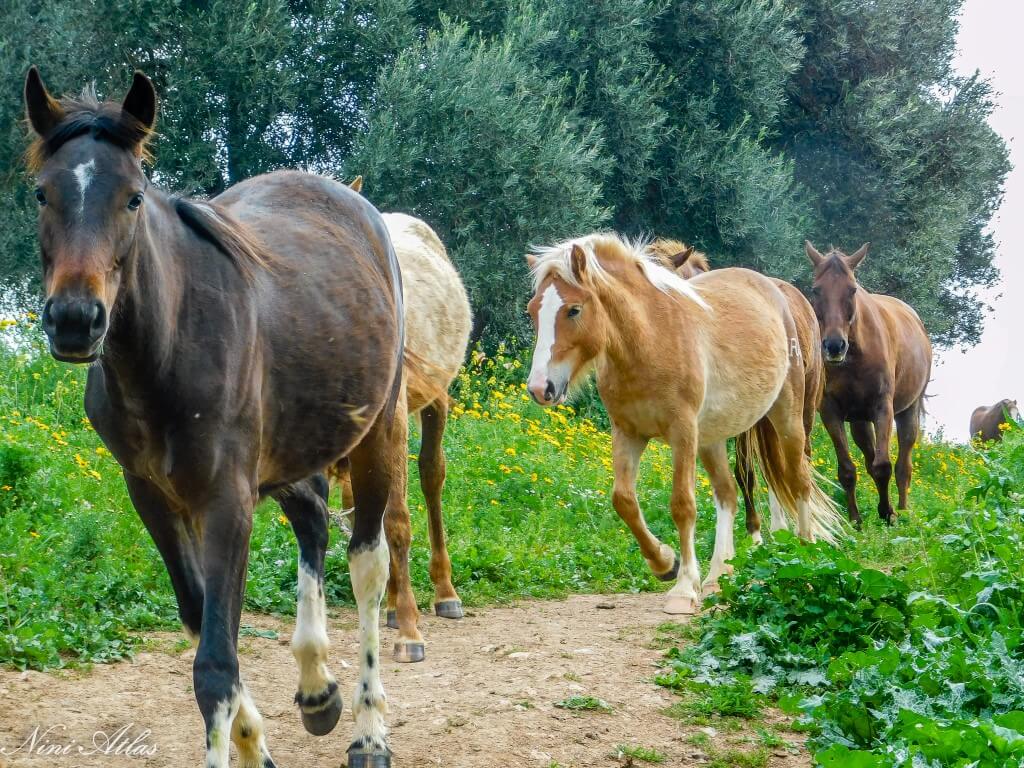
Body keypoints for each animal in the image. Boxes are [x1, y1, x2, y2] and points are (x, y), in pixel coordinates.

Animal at [24, 66, 399, 768]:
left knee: (367, 564)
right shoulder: (151, 495)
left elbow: (216, 664)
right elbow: (202, 620)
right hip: (290, 450)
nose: (74, 320)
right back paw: (318, 692)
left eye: (133, 198)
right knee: (312, 522)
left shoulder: (227, 499)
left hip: (378, 433)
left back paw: (369, 731)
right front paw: (257, 741)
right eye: (41, 193)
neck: (168, 349)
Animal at [331, 177, 471, 663]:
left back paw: (444, 594)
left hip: (434, 401)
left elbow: (397, 521)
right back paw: (390, 605)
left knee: (431, 476)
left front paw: (410, 630)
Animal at [806, 243, 937, 528]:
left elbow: (883, 466)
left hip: (907, 411)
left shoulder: (882, 407)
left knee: (903, 465)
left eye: (852, 289)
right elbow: (847, 470)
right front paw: (856, 520)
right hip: (859, 421)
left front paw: (889, 514)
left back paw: (903, 509)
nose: (834, 346)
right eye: (815, 289)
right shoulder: (830, 411)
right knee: (868, 458)